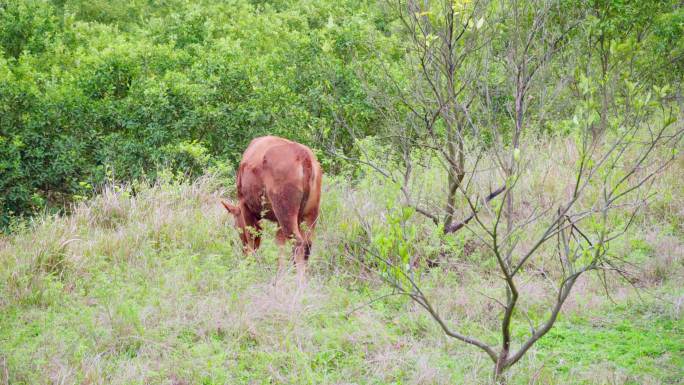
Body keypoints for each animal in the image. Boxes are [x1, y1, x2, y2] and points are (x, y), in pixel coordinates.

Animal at [222, 136, 324, 280]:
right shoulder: (278, 220)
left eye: (236, 226)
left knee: (298, 243)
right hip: (310, 213)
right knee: (307, 245)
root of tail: (305, 158)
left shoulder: (245, 205)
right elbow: (279, 243)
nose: (243, 251)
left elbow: (252, 238)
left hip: (285, 211)